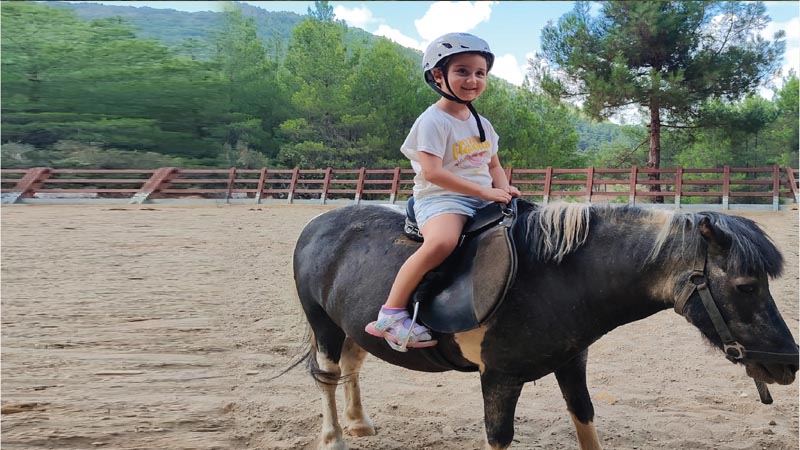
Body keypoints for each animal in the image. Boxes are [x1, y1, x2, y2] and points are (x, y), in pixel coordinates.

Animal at [291, 199, 798, 450]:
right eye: (747, 286)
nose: (789, 363)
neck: (555, 278)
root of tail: (318, 223)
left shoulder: (572, 364)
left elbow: (586, 422)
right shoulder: (498, 379)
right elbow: (499, 436)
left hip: (354, 327)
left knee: (353, 367)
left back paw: (360, 424)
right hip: (325, 326)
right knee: (329, 377)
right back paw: (334, 439)